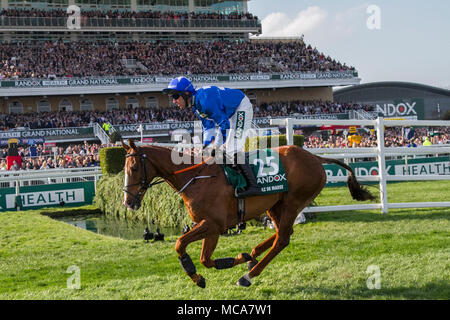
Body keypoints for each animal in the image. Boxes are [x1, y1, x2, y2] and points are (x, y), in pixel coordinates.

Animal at [121, 140, 374, 288]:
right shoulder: (207, 226)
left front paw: (196, 275)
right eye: (124, 168)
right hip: (275, 205)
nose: (128, 202)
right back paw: (253, 255)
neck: (195, 177)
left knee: (283, 239)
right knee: (283, 233)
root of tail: (315, 157)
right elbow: (203, 257)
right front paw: (238, 259)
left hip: (293, 201)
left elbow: (184, 246)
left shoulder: (213, 225)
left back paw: (249, 275)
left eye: (134, 168)